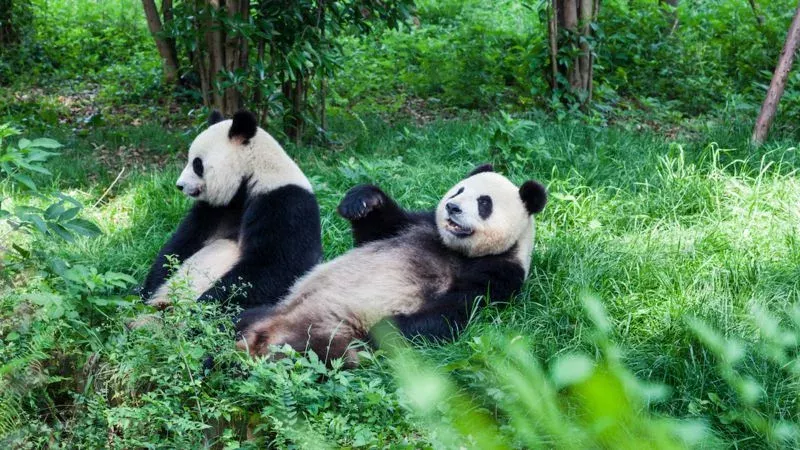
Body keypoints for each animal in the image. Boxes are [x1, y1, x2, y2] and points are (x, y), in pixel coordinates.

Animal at [139, 110, 322, 310]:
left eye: (197, 164)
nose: (180, 185)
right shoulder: (216, 209)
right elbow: (179, 245)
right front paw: (146, 290)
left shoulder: (285, 204)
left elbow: (277, 266)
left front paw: (204, 305)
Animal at [235, 164, 547, 364]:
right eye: (458, 191)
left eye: (484, 203)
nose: (452, 208)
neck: (459, 251)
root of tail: (266, 335)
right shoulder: (419, 224)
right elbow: (377, 230)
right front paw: (361, 201)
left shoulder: (499, 272)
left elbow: (453, 309)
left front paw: (384, 329)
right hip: (275, 307)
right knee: (241, 317)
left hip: (328, 338)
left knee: (315, 355)